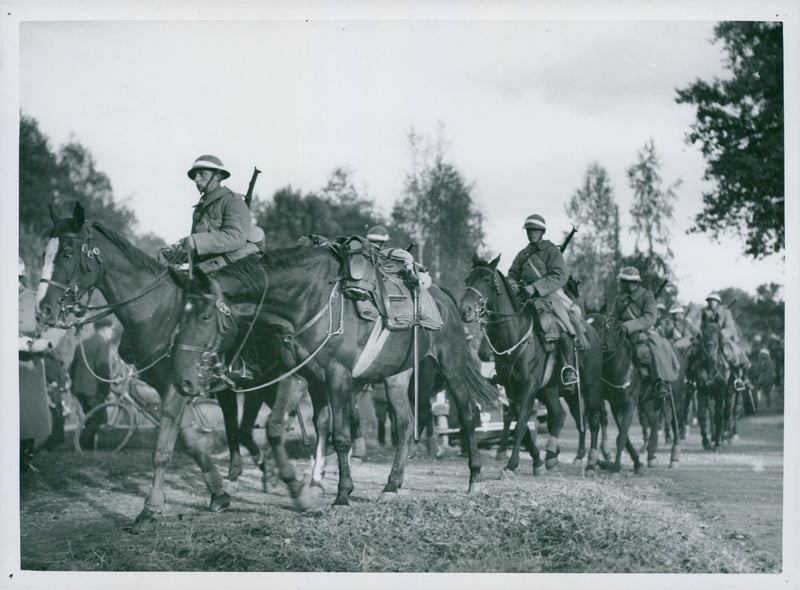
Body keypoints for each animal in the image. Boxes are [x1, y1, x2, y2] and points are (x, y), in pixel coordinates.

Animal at [170, 247, 496, 506]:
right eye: (180, 315)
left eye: (205, 316)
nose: (184, 379)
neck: (310, 301)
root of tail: (444, 297)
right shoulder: (304, 377)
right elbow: (297, 427)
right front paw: (308, 485)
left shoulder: (338, 377)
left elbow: (340, 436)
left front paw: (342, 493)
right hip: (396, 377)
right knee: (405, 425)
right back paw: (392, 486)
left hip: (451, 365)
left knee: (467, 415)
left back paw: (475, 479)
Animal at [460, 256, 604, 478]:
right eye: (468, 279)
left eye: (486, 279)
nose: (465, 310)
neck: (516, 335)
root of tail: (592, 333)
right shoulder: (512, 390)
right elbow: (523, 425)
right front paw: (536, 460)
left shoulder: (529, 387)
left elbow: (520, 426)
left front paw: (510, 466)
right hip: (557, 391)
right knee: (560, 415)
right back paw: (552, 455)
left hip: (590, 387)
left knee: (594, 421)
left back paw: (590, 463)